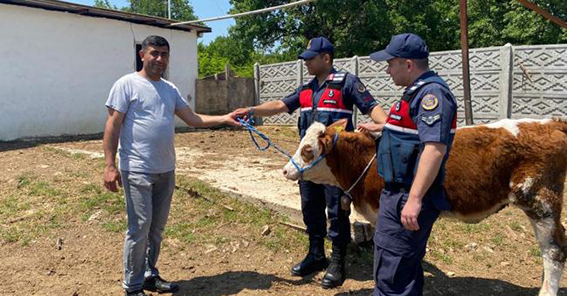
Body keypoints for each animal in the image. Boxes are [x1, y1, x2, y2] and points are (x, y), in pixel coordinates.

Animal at [284, 118, 567, 296]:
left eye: (307, 149)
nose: (286, 170)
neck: (366, 161)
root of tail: (552, 123)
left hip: (540, 201)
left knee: (554, 250)